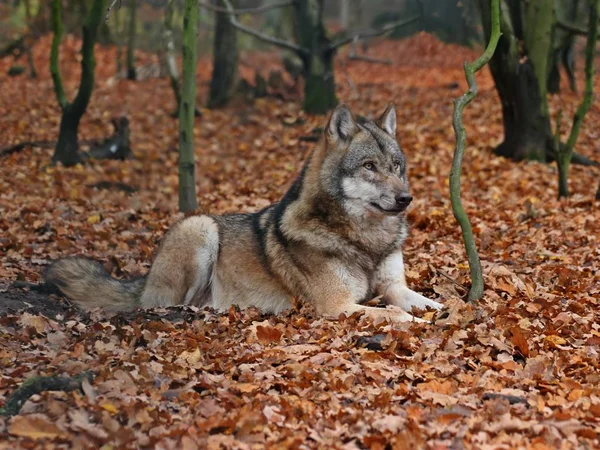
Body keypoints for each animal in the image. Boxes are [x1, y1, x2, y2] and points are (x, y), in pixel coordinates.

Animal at [45, 103, 440, 322]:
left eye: (396, 166)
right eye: (369, 167)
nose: (407, 198)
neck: (365, 240)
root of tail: (144, 280)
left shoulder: (395, 287)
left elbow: (426, 303)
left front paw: (446, 314)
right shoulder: (337, 305)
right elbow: (396, 314)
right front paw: (420, 325)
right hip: (200, 228)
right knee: (170, 305)